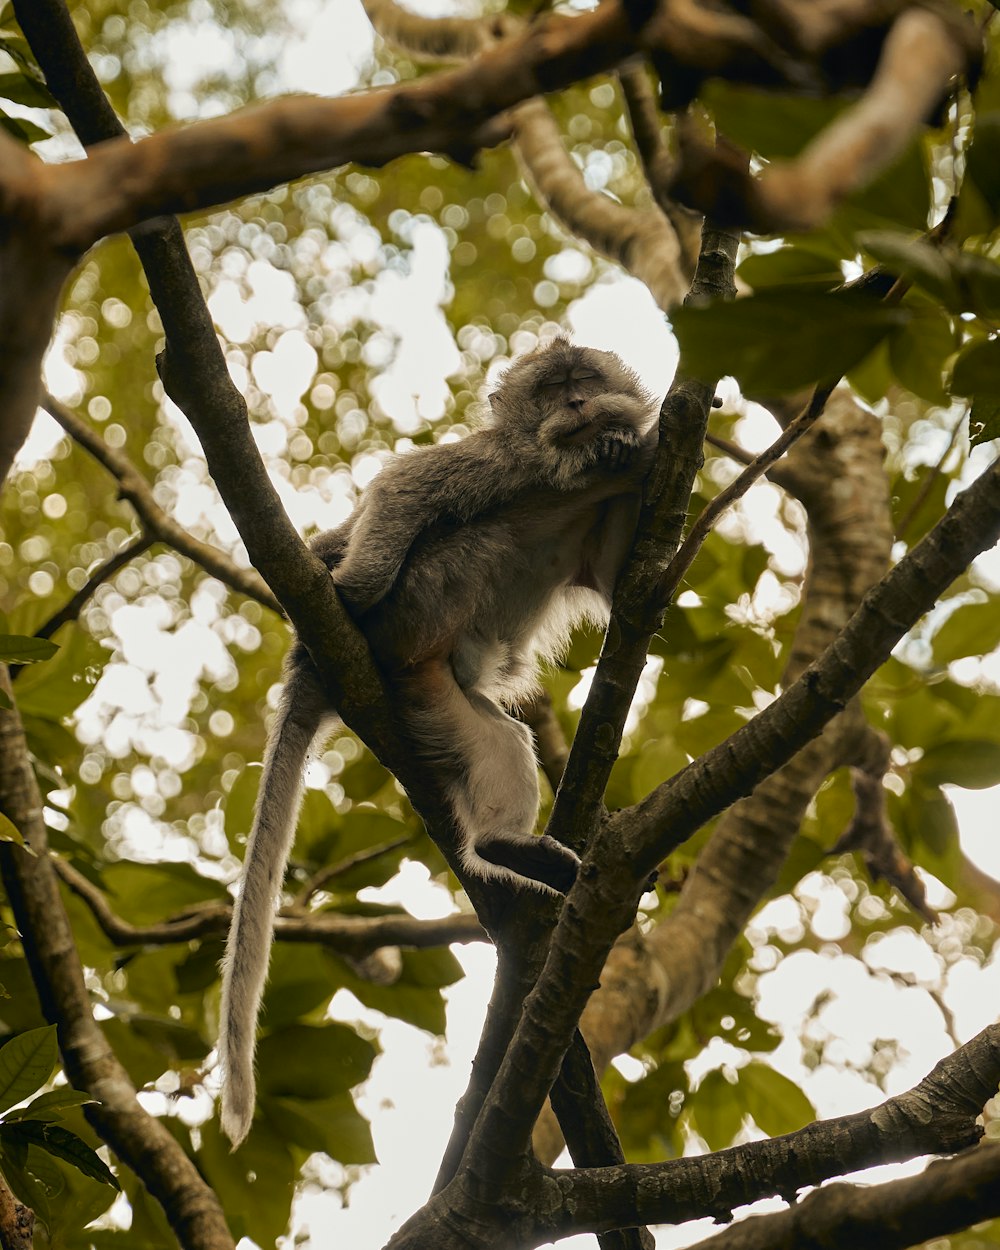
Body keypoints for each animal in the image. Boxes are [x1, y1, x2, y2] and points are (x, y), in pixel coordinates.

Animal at [216, 340, 655, 1145]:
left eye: (585, 381)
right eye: (554, 390)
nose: (579, 405)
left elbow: (624, 587)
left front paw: (618, 445)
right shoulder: (491, 463)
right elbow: (400, 490)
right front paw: (350, 581)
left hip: (426, 696)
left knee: (499, 740)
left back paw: (504, 845)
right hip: (421, 601)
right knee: (464, 540)